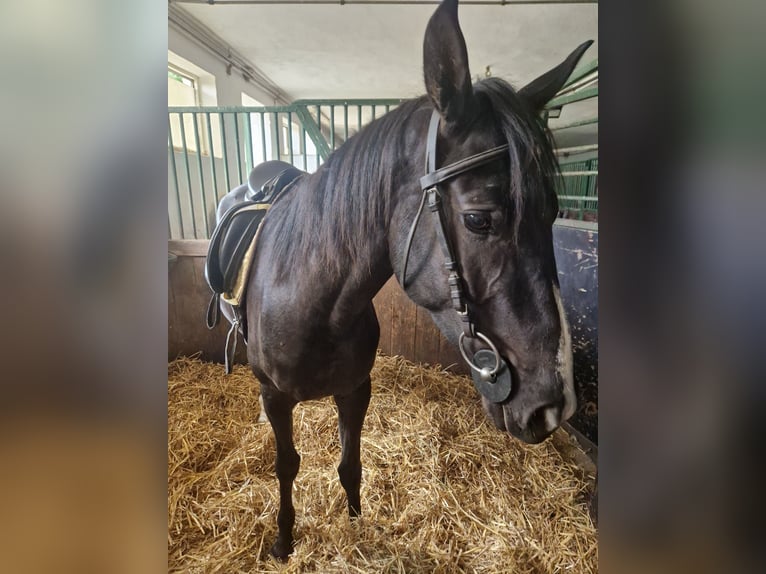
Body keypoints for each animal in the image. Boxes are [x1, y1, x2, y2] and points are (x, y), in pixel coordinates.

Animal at [210, 0, 592, 560]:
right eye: (479, 219)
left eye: (554, 213)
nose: (555, 406)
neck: (312, 299)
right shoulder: (277, 397)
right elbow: (286, 466)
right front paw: (283, 540)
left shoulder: (356, 389)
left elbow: (349, 463)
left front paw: (355, 526)